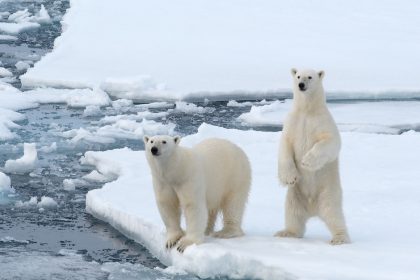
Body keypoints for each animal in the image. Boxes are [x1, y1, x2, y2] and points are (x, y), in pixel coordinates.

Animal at [276, 68, 352, 245]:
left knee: (334, 215)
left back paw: (339, 238)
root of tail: (312, 209)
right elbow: (285, 145)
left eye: (309, 77)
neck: (307, 111)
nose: (301, 85)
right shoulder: (292, 123)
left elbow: (331, 141)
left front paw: (307, 161)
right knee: (293, 214)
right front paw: (290, 177)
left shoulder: (322, 122)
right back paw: (286, 232)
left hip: (328, 193)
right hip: (295, 196)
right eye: (298, 76)